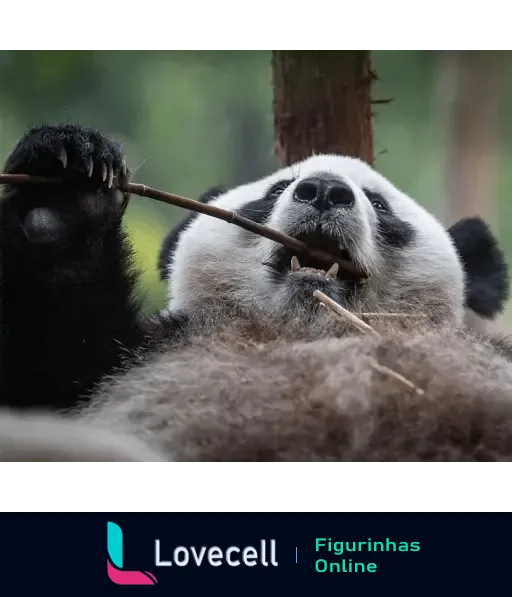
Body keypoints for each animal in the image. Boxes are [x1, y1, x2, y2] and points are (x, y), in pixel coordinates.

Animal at [1, 123, 512, 464]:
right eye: (277, 190)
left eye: (380, 204)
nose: (324, 190)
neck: (310, 330)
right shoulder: (134, 357)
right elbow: (48, 367)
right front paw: (64, 193)